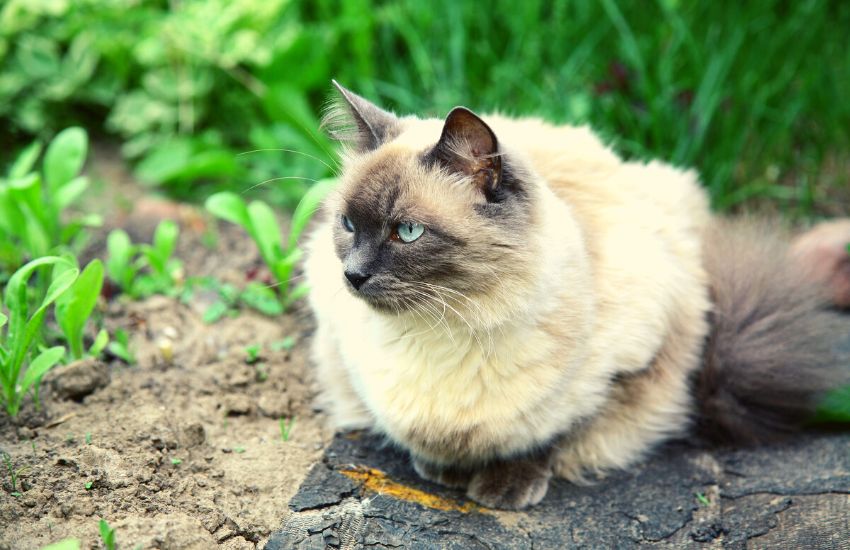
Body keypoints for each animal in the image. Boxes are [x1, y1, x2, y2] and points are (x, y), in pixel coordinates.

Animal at [304, 82, 848, 512]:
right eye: (348, 224)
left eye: (408, 232)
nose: (353, 275)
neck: (449, 326)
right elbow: (419, 436)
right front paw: (445, 469)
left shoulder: (625, 369)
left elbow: (552, 430)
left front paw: (503, 486)